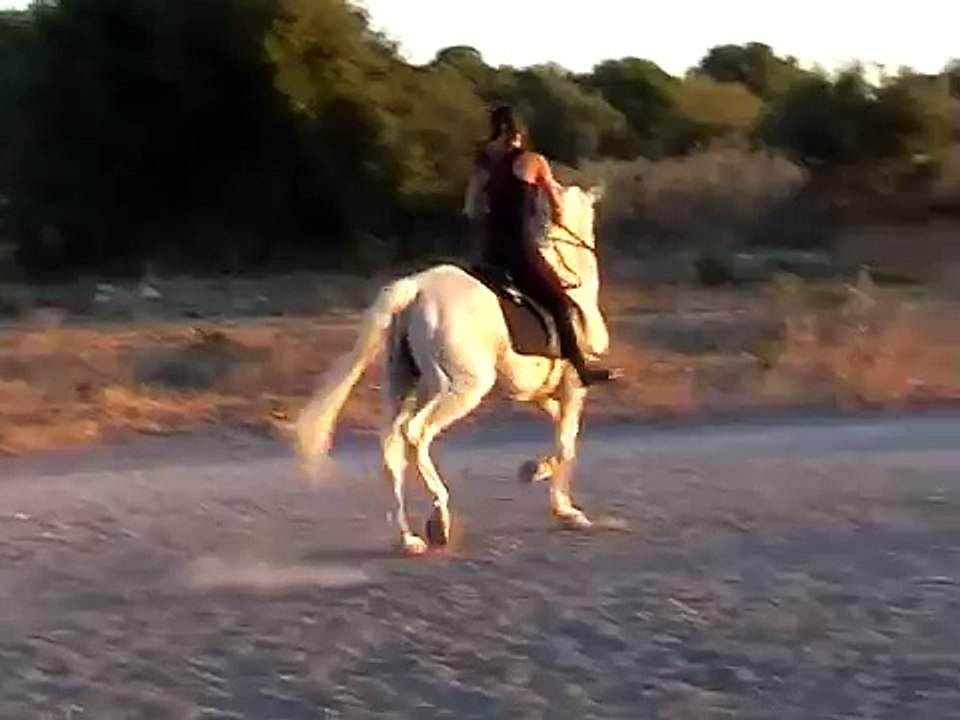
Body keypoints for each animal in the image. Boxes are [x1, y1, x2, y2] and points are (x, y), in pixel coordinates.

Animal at [292, 183, 610, 556]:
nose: (591, 243)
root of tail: (416, 288)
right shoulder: (574, 383)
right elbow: (566, 441)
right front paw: (565, 510)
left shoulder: (533, 389)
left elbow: (559, 424)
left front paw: (536, 470)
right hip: (463, 387)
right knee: (416, 433)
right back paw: (439, 519)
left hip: (408, 385)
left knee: (392, 446)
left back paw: (409, 539)